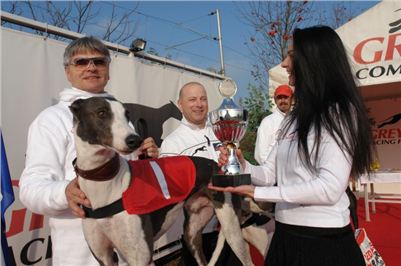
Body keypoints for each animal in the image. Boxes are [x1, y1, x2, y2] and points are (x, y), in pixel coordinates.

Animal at [67, 97, 260, 266]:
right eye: (101, 112)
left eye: (127, 114)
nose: (135, 140)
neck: (105, 182)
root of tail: (217, 166)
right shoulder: (104, 258)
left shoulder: (141, 258)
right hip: (192, 234)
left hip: (231, 228)